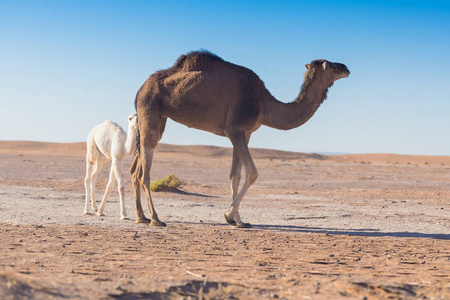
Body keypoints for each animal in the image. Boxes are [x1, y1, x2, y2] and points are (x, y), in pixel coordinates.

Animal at [130, 50, 348, 227]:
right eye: (332, 66)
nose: (347, 68)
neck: (263, 103)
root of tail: (140, 88)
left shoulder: (244, 133)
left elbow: (235, 176)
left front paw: (239, 221)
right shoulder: (235, 130)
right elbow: (252, 173)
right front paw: (228, 216)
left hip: (158, 116)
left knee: (136, 168)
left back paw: (142, 217)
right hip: (149, 106)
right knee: (144, 171)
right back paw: (156, 219)